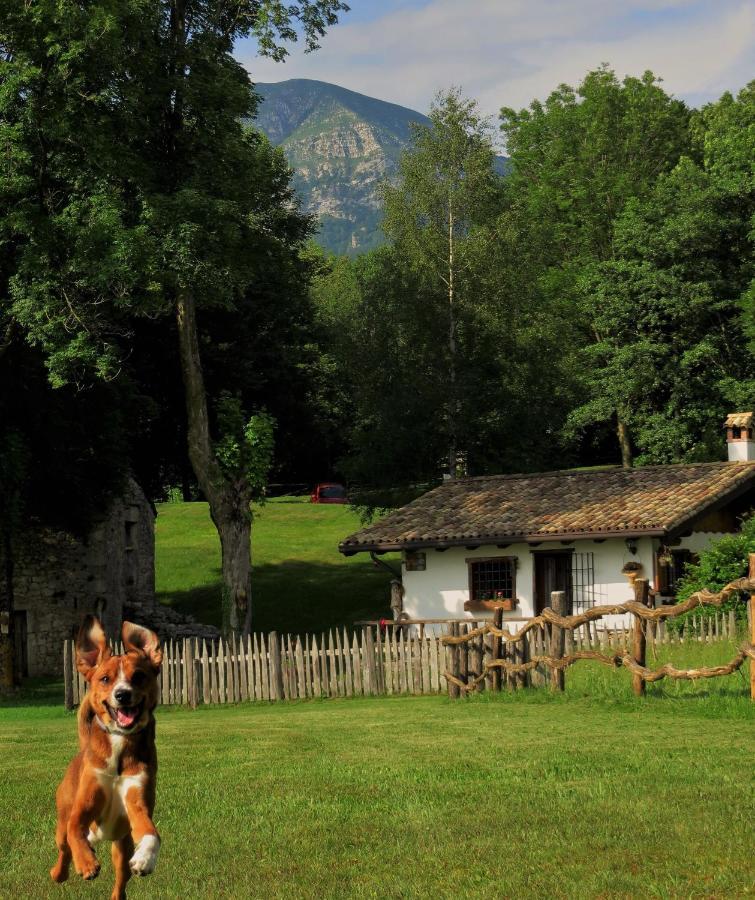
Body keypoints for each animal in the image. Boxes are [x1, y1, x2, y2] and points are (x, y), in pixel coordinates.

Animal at [53, 616, 165, 900]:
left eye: (139, 676)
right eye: (105, 679)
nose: (122, 694)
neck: (120, 745)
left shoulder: (137, 800)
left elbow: (152, 834)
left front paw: (145, 859)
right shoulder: (85, 802)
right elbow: (74, 829)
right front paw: (86, 863)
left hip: (121, 847)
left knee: (120, 881)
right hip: (63, 818)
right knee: (64, 847)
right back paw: (60, 871)